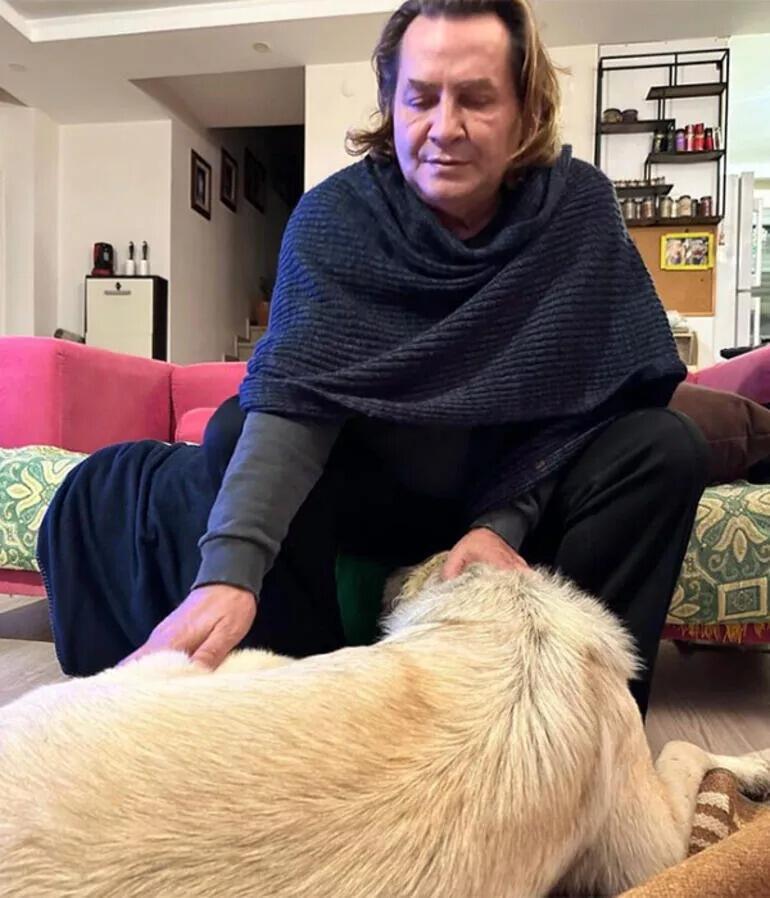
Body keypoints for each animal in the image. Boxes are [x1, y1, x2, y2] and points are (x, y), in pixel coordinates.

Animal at [1, 558, 768, 897]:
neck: (516, 620)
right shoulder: (654, 854)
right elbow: (688, 746)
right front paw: (756, 763)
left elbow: (688, 746)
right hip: (229, 662)